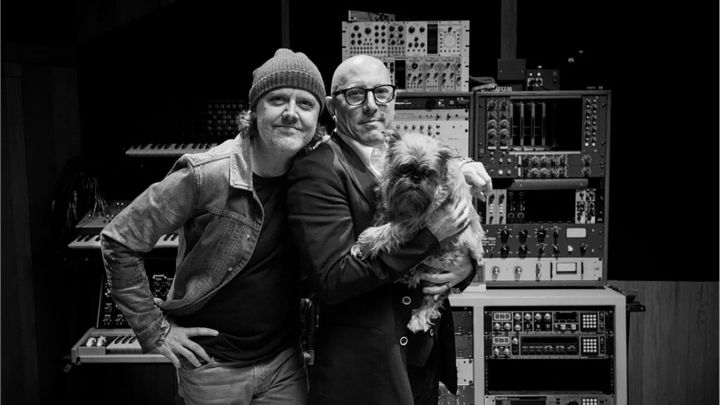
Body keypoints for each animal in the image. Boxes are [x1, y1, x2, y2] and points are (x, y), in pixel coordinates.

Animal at [352, 130, 485, 333]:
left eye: (429, 173)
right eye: (405, 168)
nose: (416, 177)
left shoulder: (417, 221)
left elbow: (391, 229)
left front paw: (367, 240)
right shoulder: (390, 205)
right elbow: (384, 216)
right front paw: (363, 245)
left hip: (442, 267)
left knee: (435, 298)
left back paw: (419, 318)